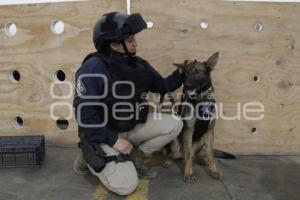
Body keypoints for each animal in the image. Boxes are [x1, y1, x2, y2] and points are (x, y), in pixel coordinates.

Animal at [163, 52, 233, 182]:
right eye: (185, 74)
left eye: (196, 71)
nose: (187, 85)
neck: (202, 99)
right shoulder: (188, 130)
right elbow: (188, 155)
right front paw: (188, 173)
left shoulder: (210, 132)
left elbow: (210, 154)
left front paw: (214, 170)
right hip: (175, 141)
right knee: (177, 154)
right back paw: (170, 160)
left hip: (202, 139)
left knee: (194, 155)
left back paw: (201, 160)